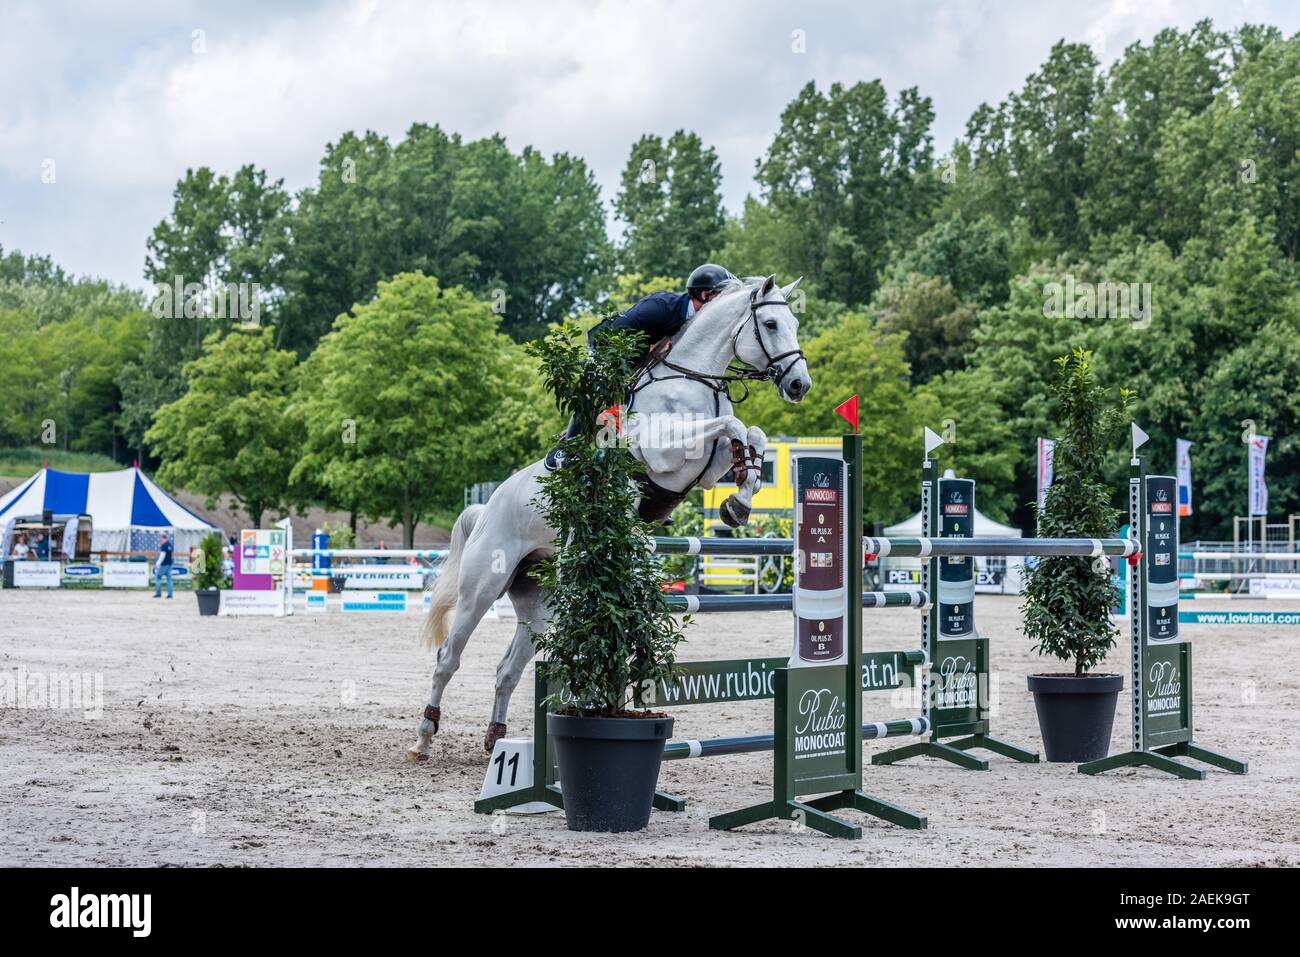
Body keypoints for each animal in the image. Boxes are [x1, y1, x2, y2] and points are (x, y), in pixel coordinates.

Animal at [405, 273, 811, 759]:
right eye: (770, 324)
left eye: (794, 323)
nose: (799, 385)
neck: (697, 378)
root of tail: (488, 507)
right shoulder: (664, 452)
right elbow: (730, 427)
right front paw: (740, 498)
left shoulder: (706, 471)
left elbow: (752, 434)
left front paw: (740, 502)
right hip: (482, 587)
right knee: (448, 658)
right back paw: (423, 738)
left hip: (540, 601)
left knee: (508, 668)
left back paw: (495, 739)